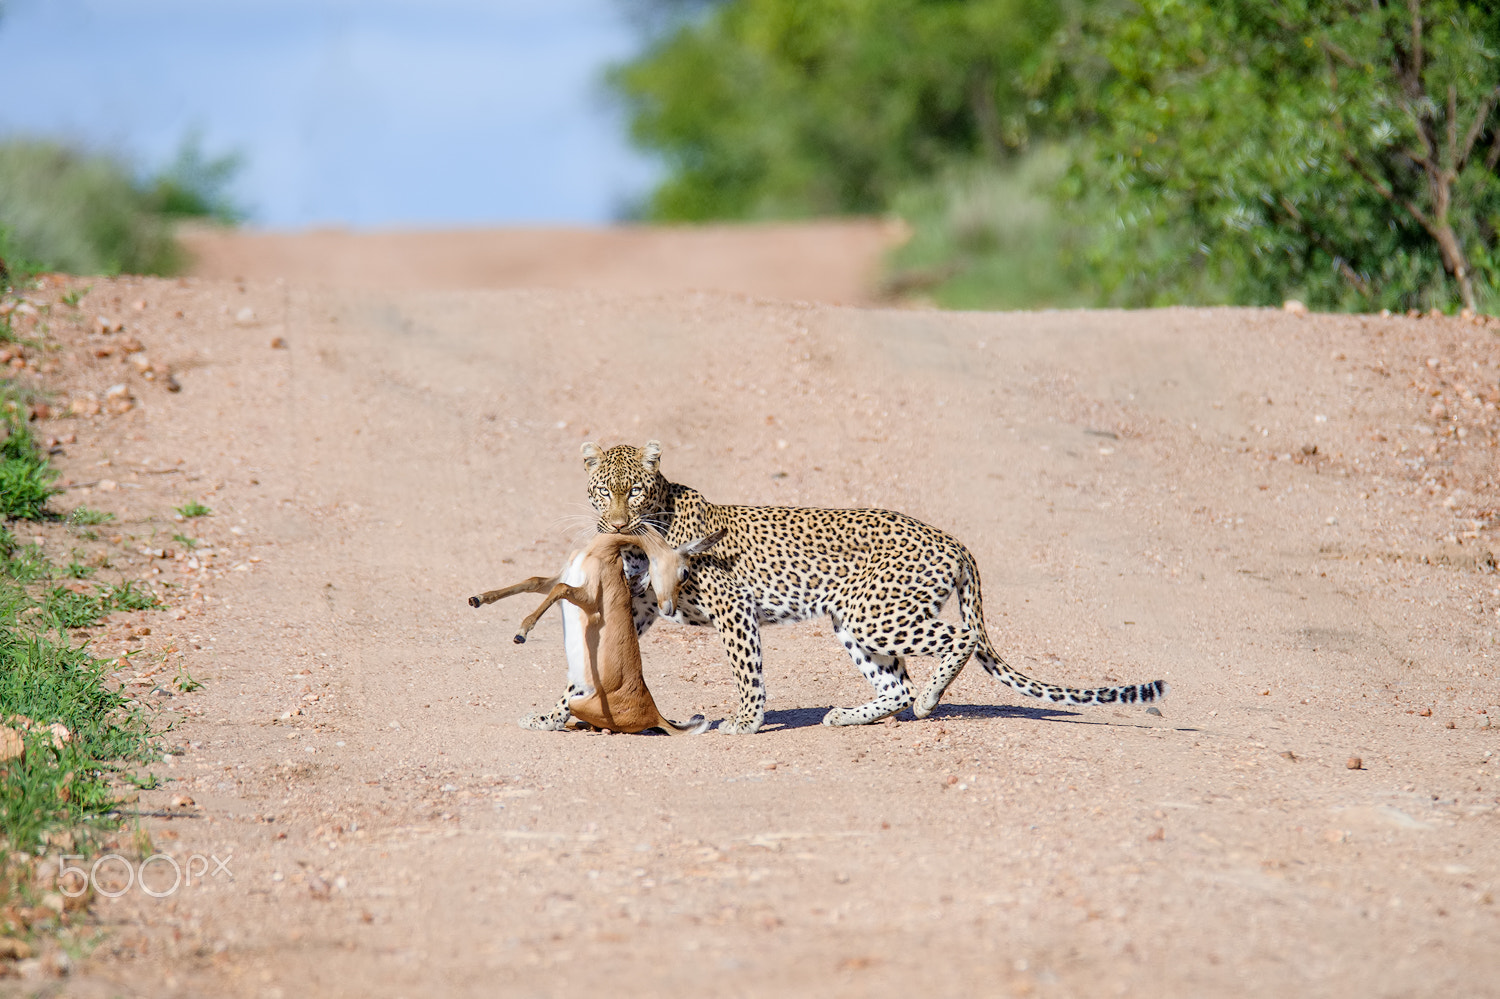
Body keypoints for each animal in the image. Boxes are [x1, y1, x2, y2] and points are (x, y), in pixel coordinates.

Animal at [525, 439, 1166, 735]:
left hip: (872, 612)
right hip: (852, 620)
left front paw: (746, 722)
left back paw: (930, 701)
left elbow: (747, 672)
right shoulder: (638, 611)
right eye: (602, 490)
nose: (615, 522)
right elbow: (584, 671)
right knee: (896, 683)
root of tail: (953, 539)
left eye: (633, 489)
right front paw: (553, 715)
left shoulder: (734, 608)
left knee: (954, 642)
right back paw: (852, 715)